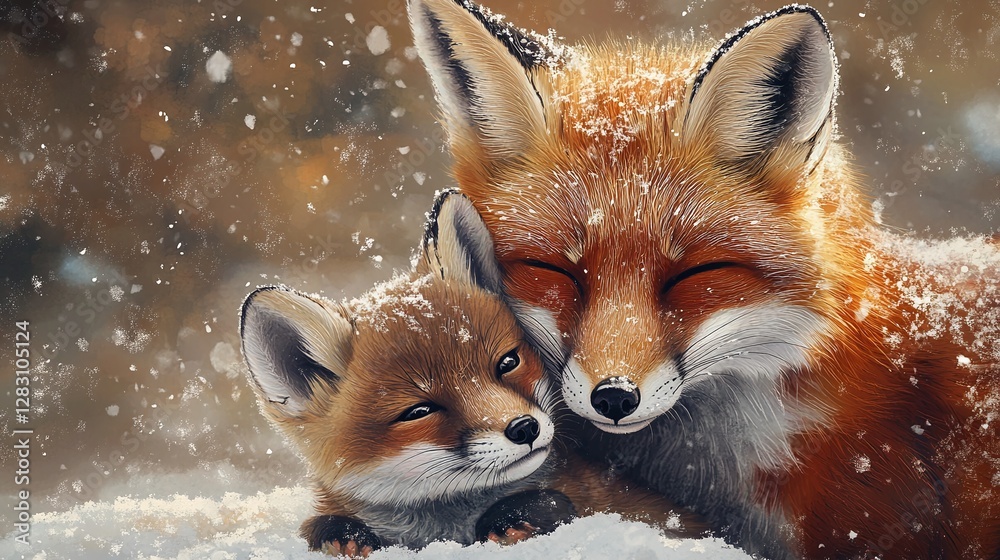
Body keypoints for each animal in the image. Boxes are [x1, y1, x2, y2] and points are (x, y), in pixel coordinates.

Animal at [239, 190, 698, 556]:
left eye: (507, 363)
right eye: (419, 411)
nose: (524, 428)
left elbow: (553, 503)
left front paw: (514, 518)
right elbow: (320, 526)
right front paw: (343, 535)